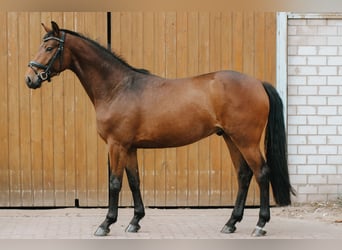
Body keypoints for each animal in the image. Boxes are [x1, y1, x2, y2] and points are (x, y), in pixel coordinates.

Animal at [25, 21, 296, 236]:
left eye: (49, 48)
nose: (30, 78)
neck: (118, 88)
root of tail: (257, 83)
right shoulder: (130, 147)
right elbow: (134, 181)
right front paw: (135, 221)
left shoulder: (116, 145)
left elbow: (115, 182)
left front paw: (106, 224)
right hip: (231, 138)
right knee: (244, 175)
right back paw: (231, 223)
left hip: (246, 140)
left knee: (262, 173)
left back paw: (260, 225)